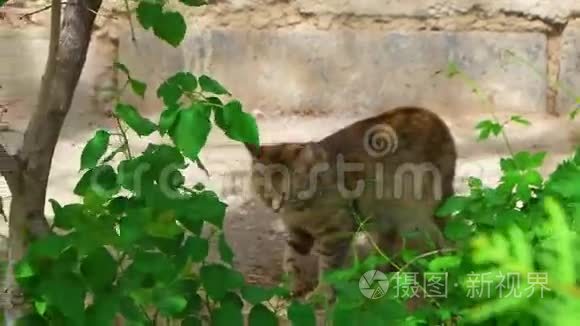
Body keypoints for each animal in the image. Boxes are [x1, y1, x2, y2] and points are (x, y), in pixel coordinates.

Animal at [245, 107, 458, 300]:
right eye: (264, 191)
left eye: (287, 193)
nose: (276, 207)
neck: (301, 210)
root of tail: (431, 114)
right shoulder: (297, 230)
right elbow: (291, 257)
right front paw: (292, 284)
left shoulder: (337, 231)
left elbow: (329, 265)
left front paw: (321, 293)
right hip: (387, 212)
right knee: (389, 240)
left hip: (431, 204)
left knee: (446, 233)